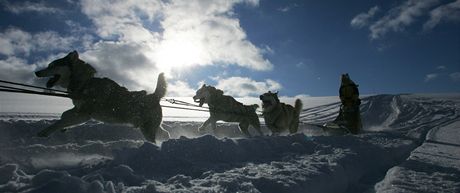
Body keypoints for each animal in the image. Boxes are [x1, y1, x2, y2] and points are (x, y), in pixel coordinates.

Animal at [34, 51, 169, 143]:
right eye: (49, 65)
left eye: (52, 65)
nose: (37, 72)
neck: (85, 83)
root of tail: (154, 96)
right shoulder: (78, 109)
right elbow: (64, 115)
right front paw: (64, 128)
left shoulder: (84, 115)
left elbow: (59, 122)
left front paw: (44, 132)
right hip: (149, 126)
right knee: (165, 133)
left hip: (147, 129)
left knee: (154, 139)